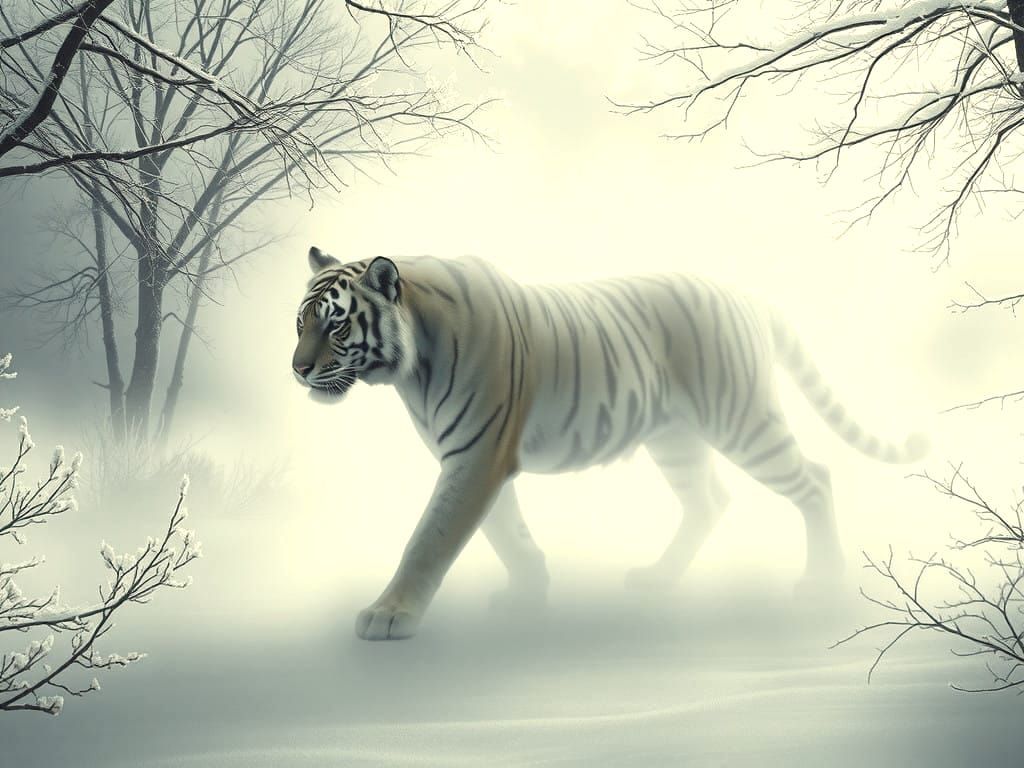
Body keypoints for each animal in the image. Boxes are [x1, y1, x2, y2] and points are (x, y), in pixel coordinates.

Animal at [292, 246, 928, 641]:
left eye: (337, 323)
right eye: (301, 323)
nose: (297, 370)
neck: (411, 365)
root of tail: (746, 296)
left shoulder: (475, 455)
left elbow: (430, 540)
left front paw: (387, 616)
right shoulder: (475, 457)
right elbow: (507, 532)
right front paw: (528, 593)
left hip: (741, 418)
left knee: (814, 479)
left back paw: (822, 582)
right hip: (676, 439)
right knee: (709, 501)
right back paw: (659, 578)